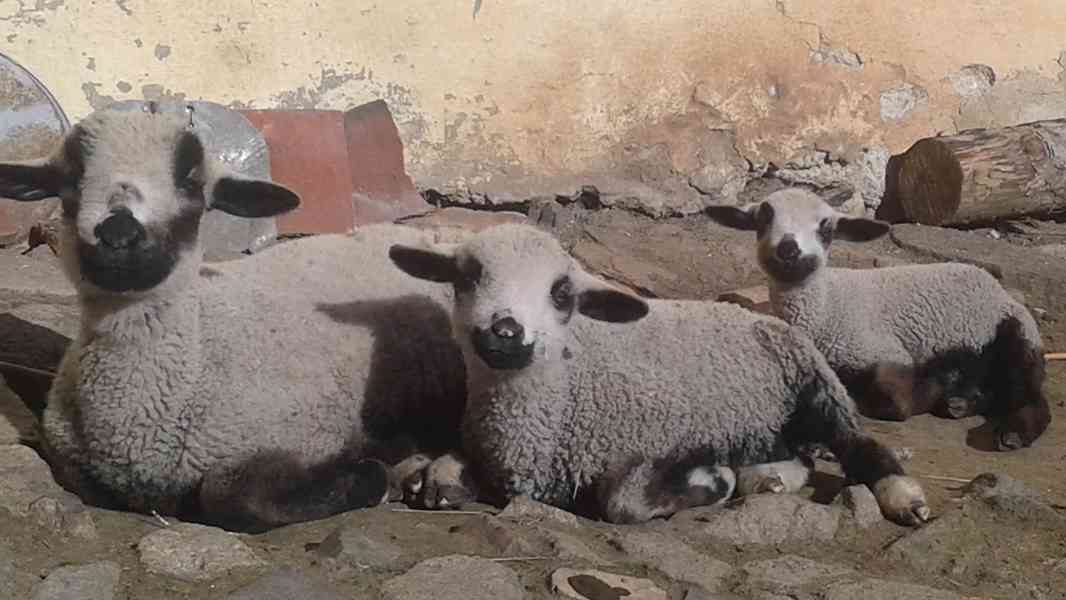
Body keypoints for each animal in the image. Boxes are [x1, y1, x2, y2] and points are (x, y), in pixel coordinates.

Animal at [0, 105, 468, 531]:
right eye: (69, 179)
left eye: (191, 182)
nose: (118, 235)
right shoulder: (68, 452)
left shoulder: (300, 434)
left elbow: (230, 496)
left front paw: (374, 473)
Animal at [387, 223, 931, 526]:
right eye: (466, 277)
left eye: (561, 293)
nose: (504, 332)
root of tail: (753, 314)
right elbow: (444, 471)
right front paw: (435, 477)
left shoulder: (658, 444)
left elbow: (623, 503)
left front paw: (714, 479)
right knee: (798, 456)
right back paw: (768, 477)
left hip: (816, 388)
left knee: (860, 445)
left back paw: (902, 498)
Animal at [705, 188, 1051, 451]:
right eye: (762, 220)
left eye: (826, 228)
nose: (789, 249)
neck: (828, 310)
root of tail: (997, 287)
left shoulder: (886, 355)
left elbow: (896, 403)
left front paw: (931, 389)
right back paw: (960, 403)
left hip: (1017, 336)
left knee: (1030, 396)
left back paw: (1010, 433)